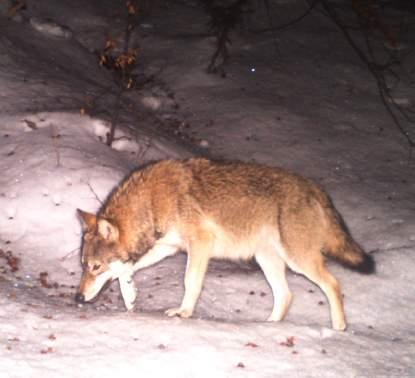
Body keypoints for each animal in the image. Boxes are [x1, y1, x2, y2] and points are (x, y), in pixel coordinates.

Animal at [75, 158, 376, 330]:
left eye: (95, 267)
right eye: (84, 266)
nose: (77, 298)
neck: (152, 201)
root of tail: (316, 188)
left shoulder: (199, 244)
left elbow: (190, 282)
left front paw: (183, 313)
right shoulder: (168, 247)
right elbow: (128, 267)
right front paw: (129, 292)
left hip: (298, 260)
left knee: (333, 284)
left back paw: (338, 329)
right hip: (267, 261)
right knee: (286, 295)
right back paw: (270, 326)